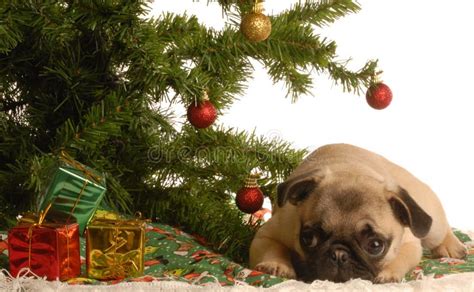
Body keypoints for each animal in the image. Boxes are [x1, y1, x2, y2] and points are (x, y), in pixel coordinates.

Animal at [248, 144, 466, 282]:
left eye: (376, 245)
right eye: (308, 238)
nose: (339, 254)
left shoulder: (410, 244)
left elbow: (400, 258)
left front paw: (388, 273)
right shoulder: (269, 233)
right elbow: (273, 248)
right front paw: (276, 265)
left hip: (430, 223)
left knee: (439, 230)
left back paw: (452, 247)